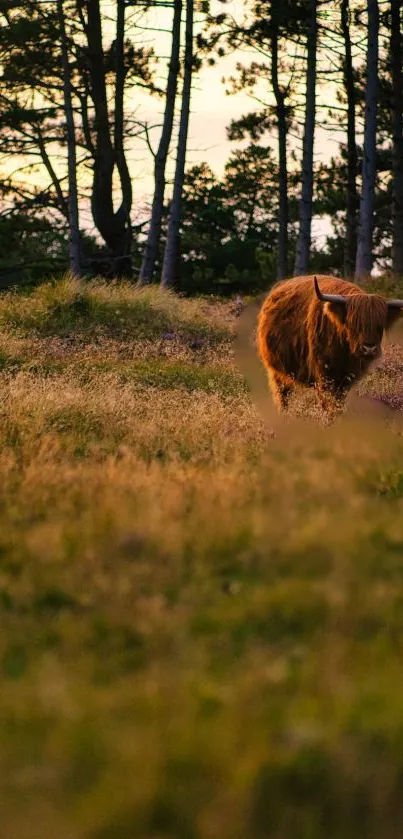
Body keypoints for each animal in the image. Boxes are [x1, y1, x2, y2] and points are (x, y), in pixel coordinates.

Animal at [258, 276, 403, 416]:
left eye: (379, 325)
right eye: (354, 324)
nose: (369, 348)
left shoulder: (346, 379)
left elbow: (339, 403)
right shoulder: (324, 375)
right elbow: (327, 402)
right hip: (277, 372)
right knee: (283, 396)